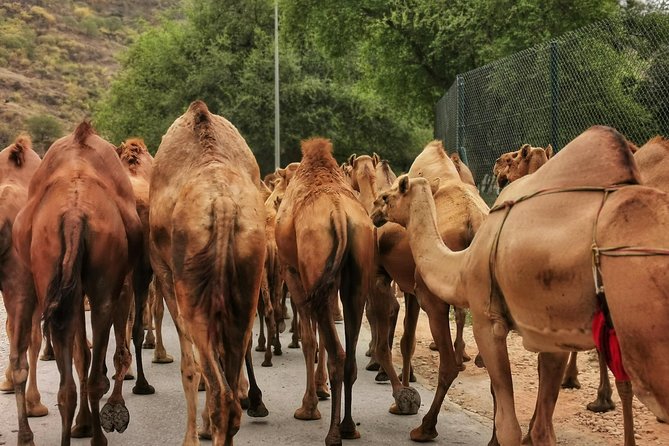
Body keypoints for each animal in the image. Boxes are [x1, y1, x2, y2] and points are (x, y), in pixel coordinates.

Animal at [10, 122, 144, 446]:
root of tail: (73, 214)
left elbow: (81, 353)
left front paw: (84, 424)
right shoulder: (116, 283)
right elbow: (103, 352)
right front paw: (108, 415)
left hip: (49, 270)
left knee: (65, 386)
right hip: (101, 287)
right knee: (93, 370)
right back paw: (99, 436)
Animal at [150, 101, 268, 446]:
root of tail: (224, 204)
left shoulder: (166, 274)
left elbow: (189, 366)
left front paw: (191, 434)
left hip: (191, 289)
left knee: (219, 392)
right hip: (247, 278)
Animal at [272, 138, 376, 444]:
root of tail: (340, 216)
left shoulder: (295, 275)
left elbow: (309, 341)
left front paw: (308, 406)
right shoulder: (325, 286)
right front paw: (320, 390)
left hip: (313, 266)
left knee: (337, 352)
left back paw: (332, 434)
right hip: (356, 278)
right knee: (348, 355)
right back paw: (349, 426)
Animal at [370, 126, 668, 446]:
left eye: (386, 196)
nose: (373, 211)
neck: (462, 262)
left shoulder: (485, 320)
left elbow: (508, 423)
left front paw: (420, 422)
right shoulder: (551, 334)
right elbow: (542, 428)